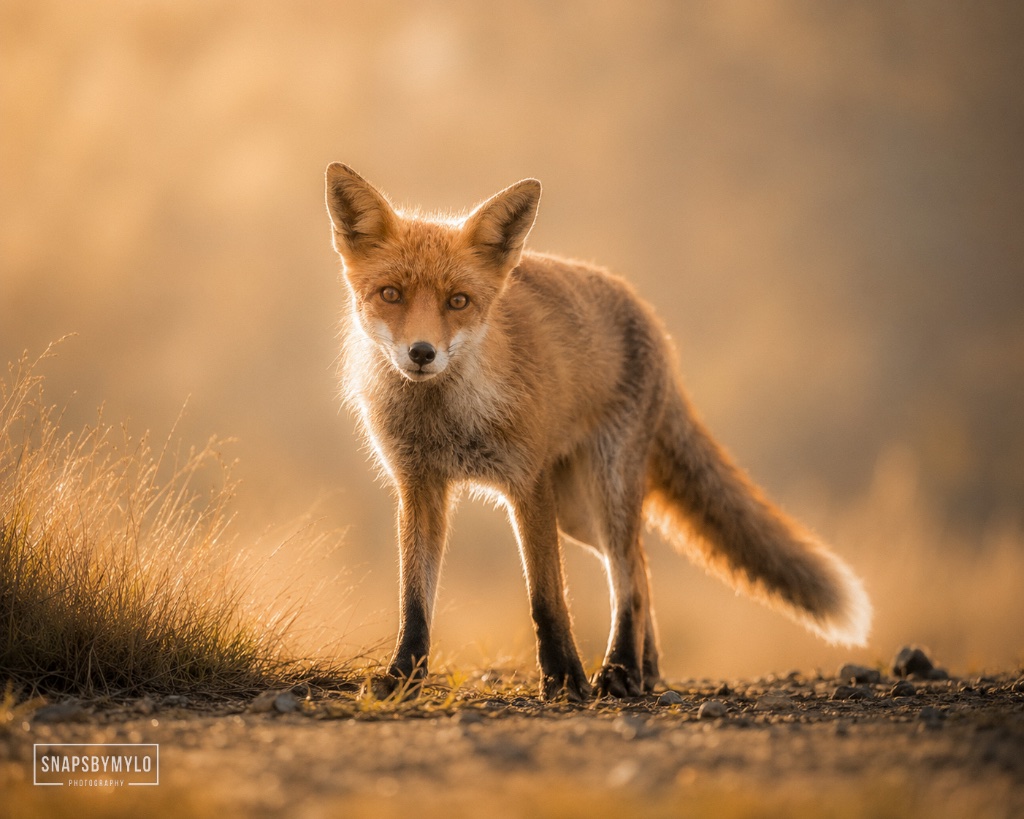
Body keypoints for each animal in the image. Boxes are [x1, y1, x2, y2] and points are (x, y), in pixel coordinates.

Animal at [324, 162, 872, 701]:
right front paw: (403, 677)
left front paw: (564, 677)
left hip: (605, 485)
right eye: (390, 295)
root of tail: (650, 317)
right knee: (641, 566)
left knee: (628, 573)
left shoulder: (527, 483)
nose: (422, 353)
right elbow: (414, 600)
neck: (445, 418)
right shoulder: (419, 485)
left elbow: (546, 598)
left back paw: (620, 669)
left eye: (459, 301)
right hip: (577, 512)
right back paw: (645, 668)